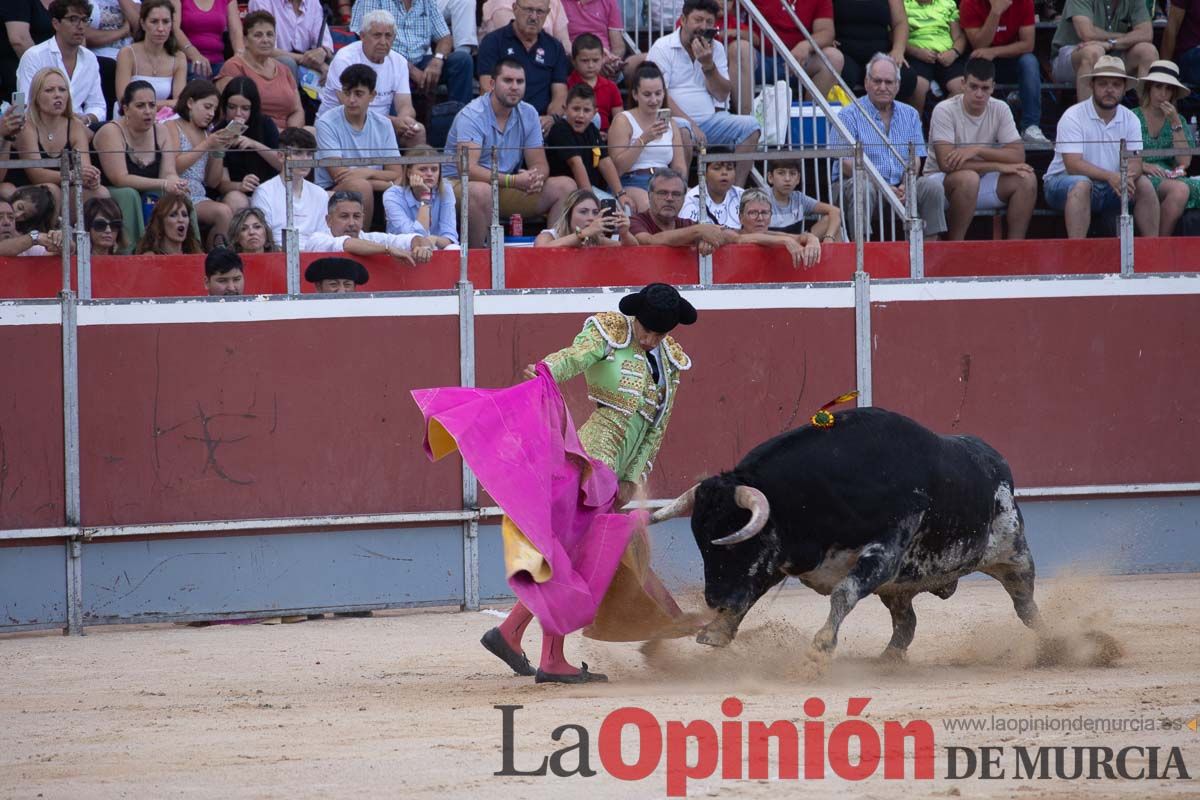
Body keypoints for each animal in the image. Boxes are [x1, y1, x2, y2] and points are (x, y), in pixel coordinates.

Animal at [648, 407, 1041, 657]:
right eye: (702, 543)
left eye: (733, 542)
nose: (713, 599)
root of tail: (996, 461)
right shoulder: (782, 555)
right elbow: (751, 591)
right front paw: (716, 632)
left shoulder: (884, 551)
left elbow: (843, 593)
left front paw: (820, 648)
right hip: (898, 589)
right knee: (907, 623)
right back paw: (888, 661)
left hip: (1014, 554)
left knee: (1025, 606)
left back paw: (1048, 644)